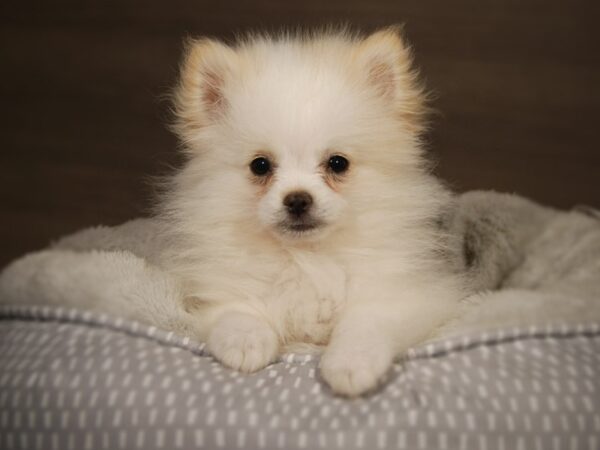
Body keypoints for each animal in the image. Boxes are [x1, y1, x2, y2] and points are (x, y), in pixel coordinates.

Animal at [159, 26, 464, 396]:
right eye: (260, 166)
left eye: (338, 163)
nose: (297, 199)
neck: (306, 258)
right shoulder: (217, 293)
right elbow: (237, 311)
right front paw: (246, 343)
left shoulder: (403, 295)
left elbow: (364, 323)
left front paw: (351, 364)